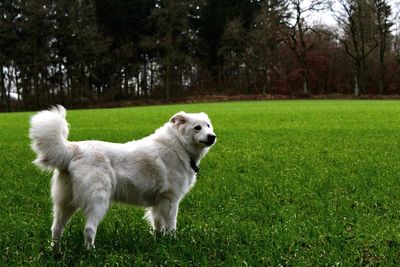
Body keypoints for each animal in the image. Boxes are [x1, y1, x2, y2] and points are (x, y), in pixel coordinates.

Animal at [28, 105, 216, 248]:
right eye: (197, 127)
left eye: (208, 125)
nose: (212, 137)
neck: (179, 144)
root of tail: (73, 150)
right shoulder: (170, 200)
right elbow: (171, 226)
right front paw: (172, 242)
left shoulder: (157, 203)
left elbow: (157, 225)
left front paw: (159, 242)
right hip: (98, 201)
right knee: (89, 229)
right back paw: (91, 252)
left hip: (65, 203)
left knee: (56, 229)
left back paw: (56, 252)